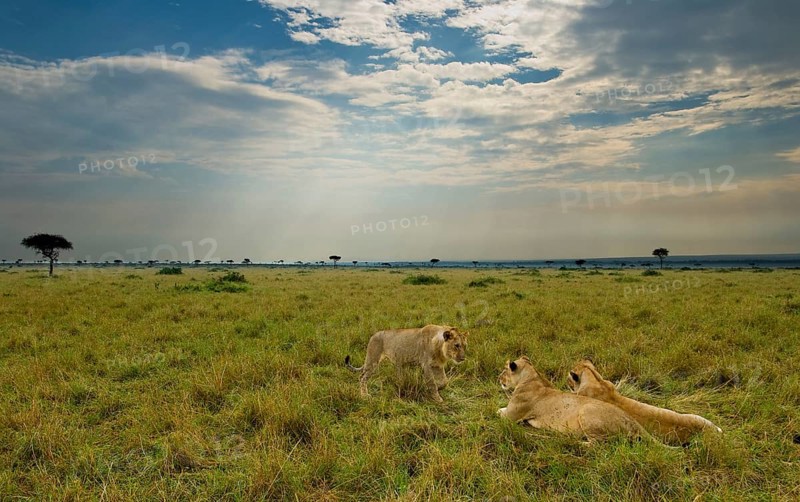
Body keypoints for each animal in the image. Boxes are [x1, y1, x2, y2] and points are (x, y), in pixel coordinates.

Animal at [497, 356, 646, 441]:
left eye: (504, 371)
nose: (498, 378)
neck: (532, 377)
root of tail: (633, 422)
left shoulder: (510, 416)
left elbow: (497, 411)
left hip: (587, 410)